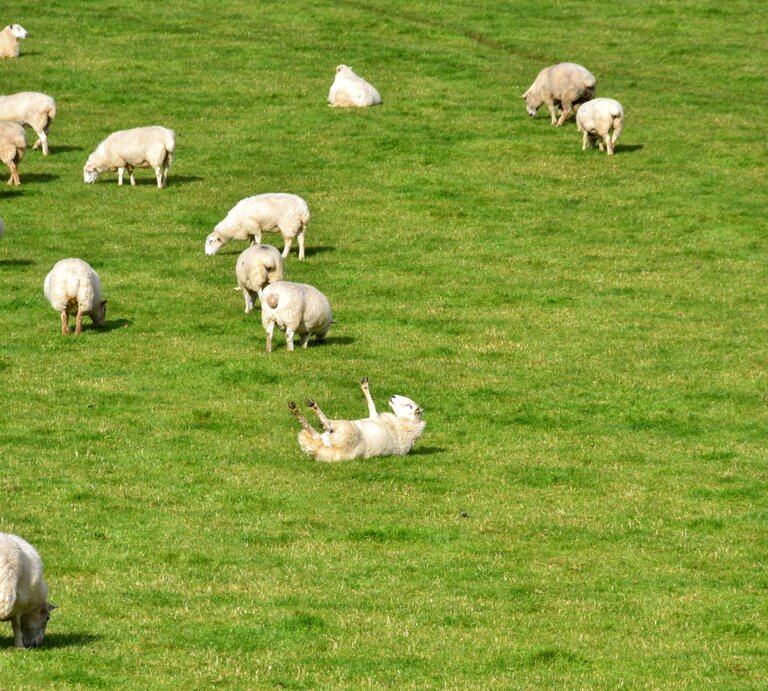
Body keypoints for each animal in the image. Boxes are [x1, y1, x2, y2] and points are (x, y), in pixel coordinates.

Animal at [288, 377, 425, 461]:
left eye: (410, 406)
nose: (393, 396)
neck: (405, 426)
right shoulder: (374, 417)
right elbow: (371, 405)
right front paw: (364, 385)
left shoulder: (376, 418)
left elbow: (372, 406)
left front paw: (365, 386)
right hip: (323, 437)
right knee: (313, 432)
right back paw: (296, 411)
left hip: (344, 430)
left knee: (329, 423)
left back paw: (313, 409)